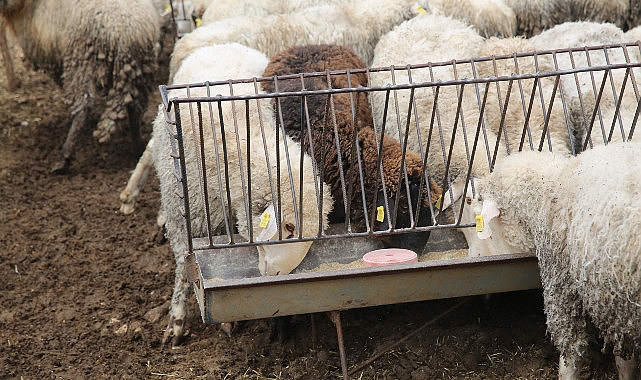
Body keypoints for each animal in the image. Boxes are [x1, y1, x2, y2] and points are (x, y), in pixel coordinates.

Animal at [0, 0, 160, 174]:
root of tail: (129, 33)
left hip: (80, 61)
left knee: (83, 105)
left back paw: (63, 159)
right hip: (139, 69)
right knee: (135, 106)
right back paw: (137, 148)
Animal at [154, 43, 332, 348]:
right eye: (288, 227)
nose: (278, 275)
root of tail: (223, 45)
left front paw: (228, 321)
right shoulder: (183, 221)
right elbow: (183, 270)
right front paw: (176, 320)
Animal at [470, 142, 640, 380]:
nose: (475, 255)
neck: (554, 185)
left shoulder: (561, 284)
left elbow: (571, 352)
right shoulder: (618, 303)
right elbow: (625, 360)